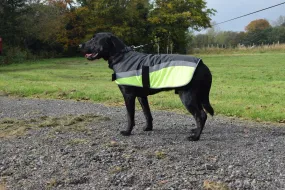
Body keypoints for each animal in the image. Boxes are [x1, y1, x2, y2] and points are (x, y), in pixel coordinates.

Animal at [80, 31, 213, 140]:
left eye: (94, 39)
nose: (80, 46)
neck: (121, 56)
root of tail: (203, 65)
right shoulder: (141, 96)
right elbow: (147, 113)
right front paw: (148, 128)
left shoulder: (128, 95)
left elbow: (130, 116)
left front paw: (127, 132)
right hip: (198, 96)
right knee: (202, 115)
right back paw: (196, 130)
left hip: (187, 96)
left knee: (200, 115)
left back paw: (195, 137)